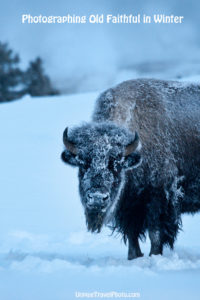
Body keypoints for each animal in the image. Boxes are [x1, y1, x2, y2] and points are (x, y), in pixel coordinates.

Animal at [61, 79, 200, 260]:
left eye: (116, 165)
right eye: (83, 164)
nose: (97, 198)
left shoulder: (159, 198)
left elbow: (155, 233)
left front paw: (154, 256)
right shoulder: (127, 206)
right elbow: (131, 234)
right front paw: (134, 257)